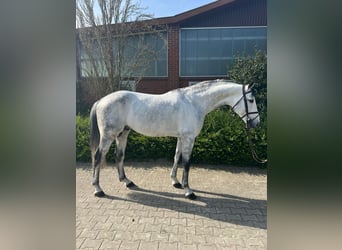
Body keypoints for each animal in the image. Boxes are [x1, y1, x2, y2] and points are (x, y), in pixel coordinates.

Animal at [88, 78, 260, 199]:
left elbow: (177, 157)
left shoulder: (181, 137)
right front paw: (188, 191)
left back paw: (127, 181)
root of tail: (101, 101)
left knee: (119, 156)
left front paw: (175, 182)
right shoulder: (189, 138)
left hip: (122, 134)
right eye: (251, 100)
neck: (194, 102)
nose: (256, 123)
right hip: (108, 136)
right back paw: (98, 189)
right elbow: (187, 162)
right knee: (98, 157)